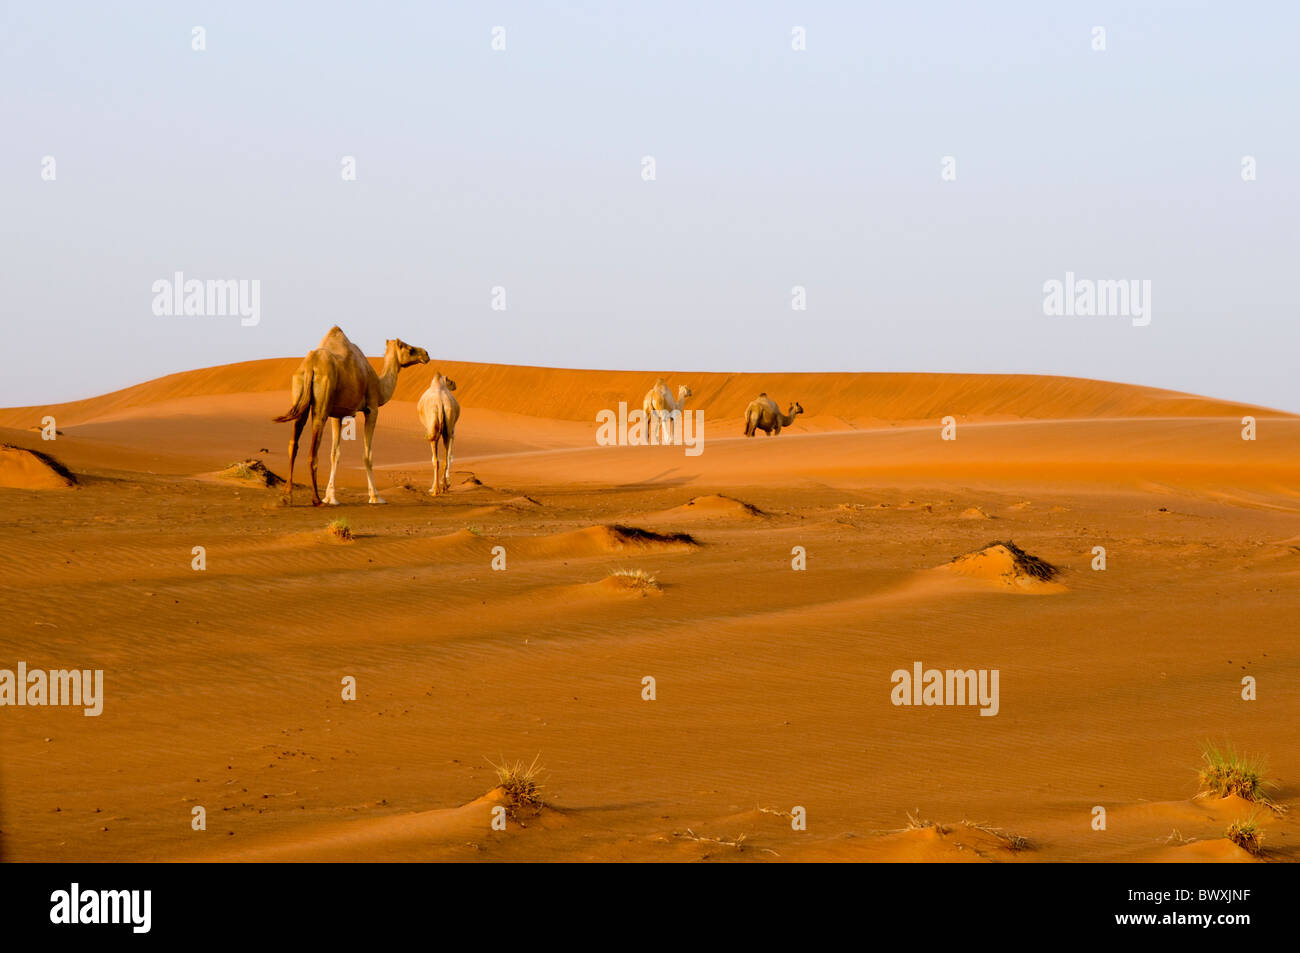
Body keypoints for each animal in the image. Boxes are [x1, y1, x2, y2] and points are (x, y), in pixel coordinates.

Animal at [274, 326, 429, 506]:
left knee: (294, 443)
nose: (426, 354)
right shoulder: (372, 408)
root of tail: (311, 365)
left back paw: (287, 495)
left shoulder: (337, 414)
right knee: (313, 450)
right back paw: (316, 499)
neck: (379, 385)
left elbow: (335, 454)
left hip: (300, 394)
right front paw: (375, 497)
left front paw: (331, 497)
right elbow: (367, 455)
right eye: (410, 349)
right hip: (322, 403)